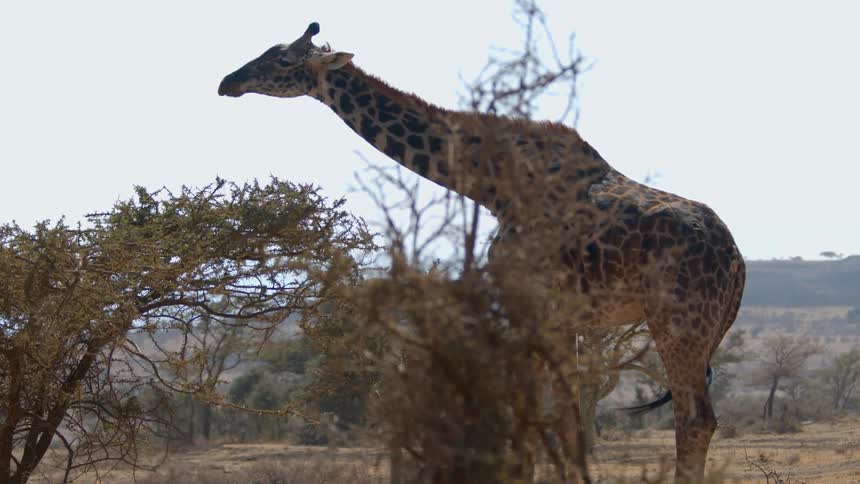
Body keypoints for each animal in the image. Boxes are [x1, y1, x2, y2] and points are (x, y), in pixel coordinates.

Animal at [218, 22, 746, 482]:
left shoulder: (527, 302)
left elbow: (532, 414)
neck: (491, 184)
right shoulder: (563, 316)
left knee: (695, 419)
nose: (228, 82)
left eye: (283, 60)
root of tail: (737, 263)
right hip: (697, 329)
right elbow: (568, 416)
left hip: (678, 321)